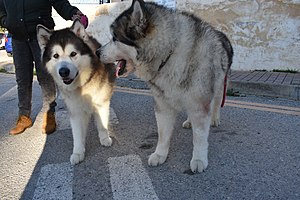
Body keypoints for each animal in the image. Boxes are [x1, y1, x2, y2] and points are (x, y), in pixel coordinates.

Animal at [97, 0, 233, 172]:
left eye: (115, 38)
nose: (97, 52)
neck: (168, 54)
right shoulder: (163, 106)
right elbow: (163, 134)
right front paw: (160, 154)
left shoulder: (200, 104)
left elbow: (199, 137)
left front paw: (199, 158)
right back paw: (189, 121)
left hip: (219, 85)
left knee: (216, 102)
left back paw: (214, 118)